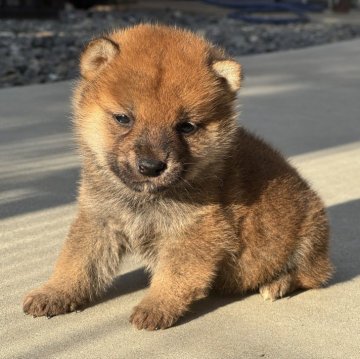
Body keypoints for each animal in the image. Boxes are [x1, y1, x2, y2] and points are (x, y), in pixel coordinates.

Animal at [22, 23, 334, 330]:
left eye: (186, 126)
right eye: (123, 118)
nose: (151, 166)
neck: (142, 199)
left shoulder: (195, 232)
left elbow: (174, 276)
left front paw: (155, 308)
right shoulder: (98, 220)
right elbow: (77, 262)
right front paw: (54, 293)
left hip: (309, 236)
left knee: (310, 275)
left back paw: (276, 283)